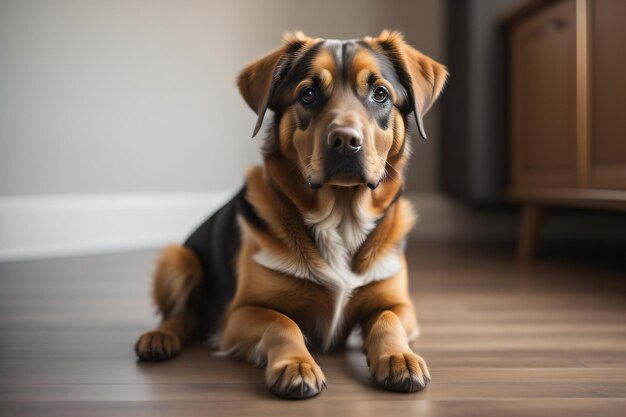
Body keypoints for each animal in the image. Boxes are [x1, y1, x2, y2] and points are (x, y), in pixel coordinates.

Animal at [134, 30, 446, 398]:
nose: (345, 140)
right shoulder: (242, 312)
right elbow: (282, 323)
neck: (341, 218)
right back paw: (160, 338)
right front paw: (296, 365)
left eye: (380, 93)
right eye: (308, 94)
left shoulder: (399, 303)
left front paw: (399, 357)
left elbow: (389, 319)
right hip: (179, 259)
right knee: (180, 316)